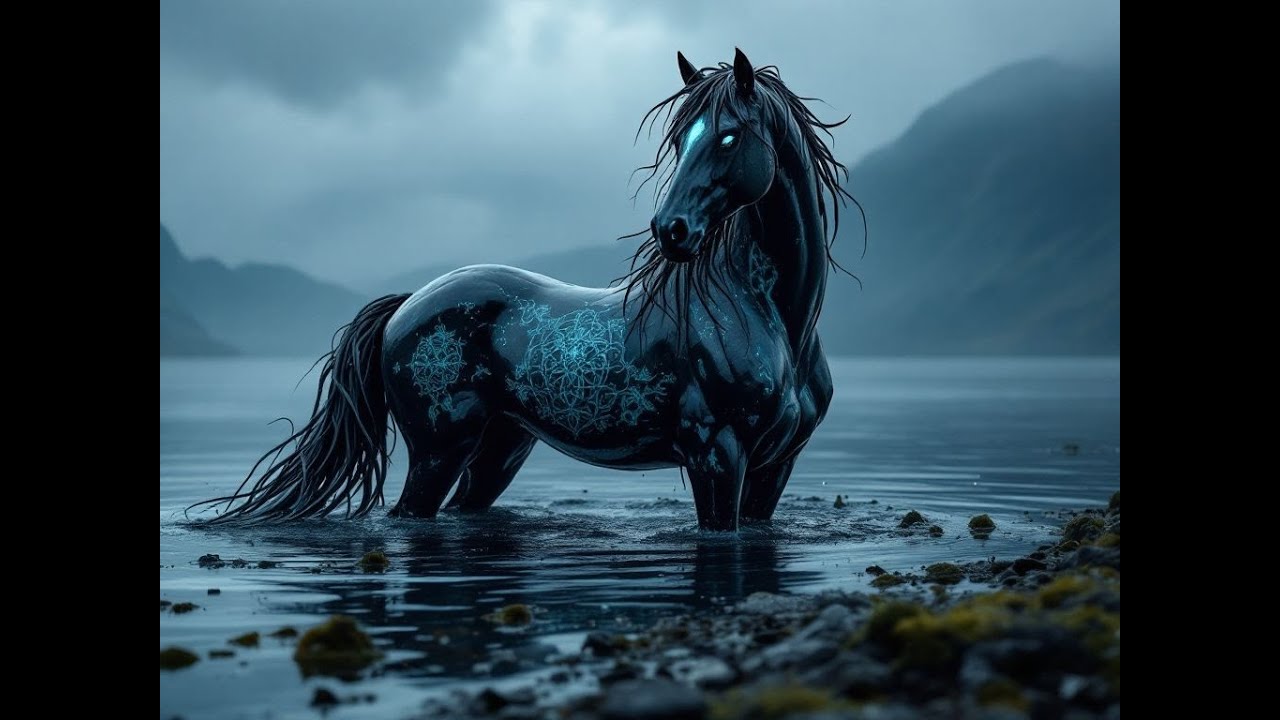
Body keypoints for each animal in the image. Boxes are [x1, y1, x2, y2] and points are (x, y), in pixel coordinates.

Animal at [190, 48, 861, 531]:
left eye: (727, 136)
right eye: (678, 139)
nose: (671, 231)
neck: (773, 317)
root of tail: (406, 307)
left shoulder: (774, 466)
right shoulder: (716, 455)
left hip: (499, 450)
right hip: (440, 449)